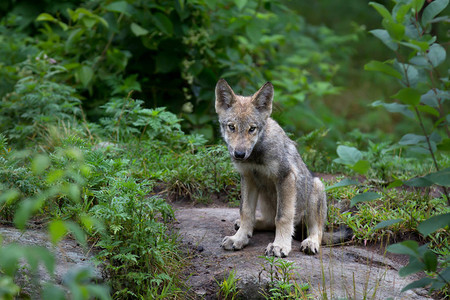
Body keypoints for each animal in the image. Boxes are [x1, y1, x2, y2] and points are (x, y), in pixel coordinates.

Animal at [214, 78, 330, 256]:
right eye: (232, 127)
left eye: (252, 129)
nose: (239, 154)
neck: (256, 156)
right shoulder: (248, 178)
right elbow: (245, 212)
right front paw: (239, 238)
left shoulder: (286, 178)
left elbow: (282, 217)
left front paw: (280, 246)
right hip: (263, 194)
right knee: (268, 221)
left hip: (316, 188)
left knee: (317, 230)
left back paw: (310, 243)